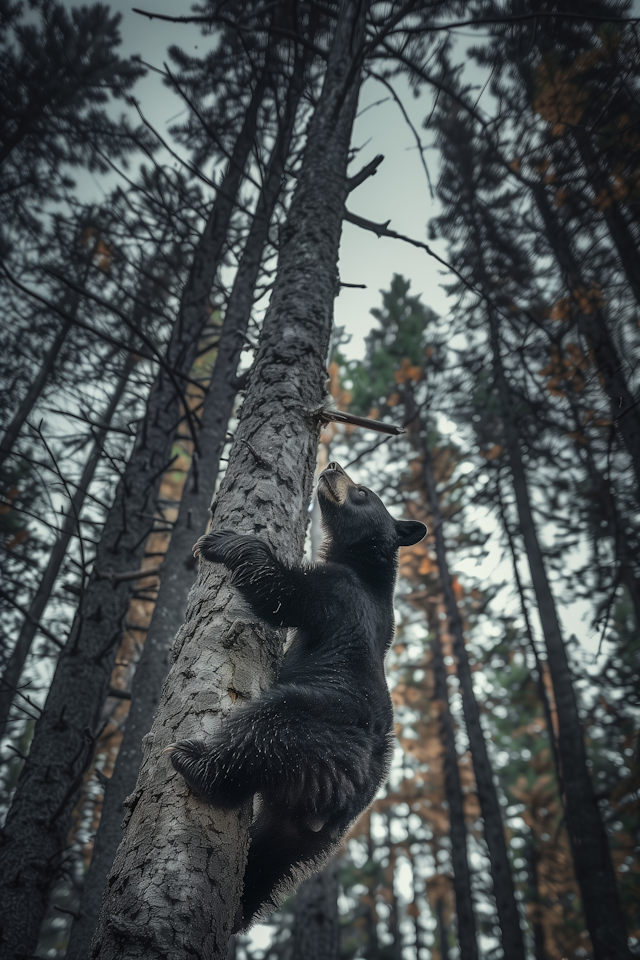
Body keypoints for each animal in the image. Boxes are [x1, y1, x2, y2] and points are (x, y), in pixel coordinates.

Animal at [171, 462, 424, 928]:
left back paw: (195, 761)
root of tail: (339, 803)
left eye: (362, 491)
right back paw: (240, 909)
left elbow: (282, 593)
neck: (366, 570)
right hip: (306, 832)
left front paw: (218, 541)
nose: (333, 466)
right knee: (271, 860)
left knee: (265, 727)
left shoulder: (338, 593)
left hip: (314, 727)